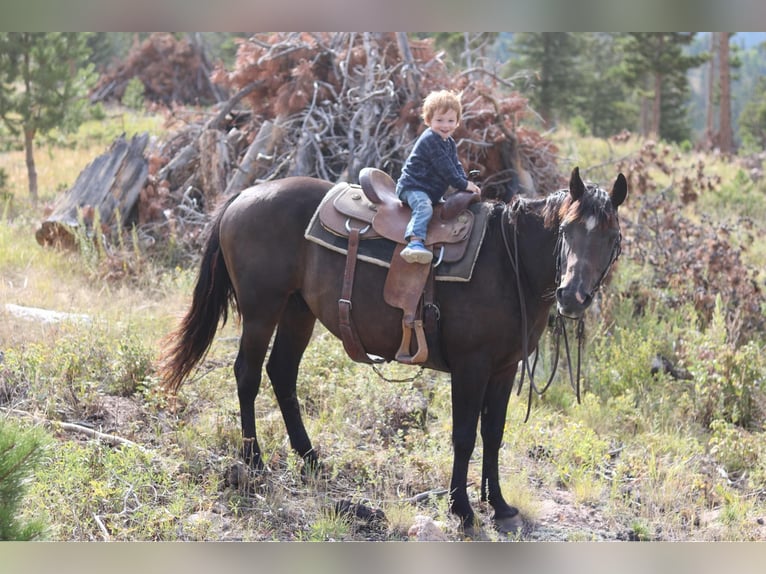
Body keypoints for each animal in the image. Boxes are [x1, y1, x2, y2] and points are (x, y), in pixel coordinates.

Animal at [160, 166, 627, 536]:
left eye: (612, 237)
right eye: (565, 231)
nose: (572, 296)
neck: (509, 265)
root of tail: (244, 196)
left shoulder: (505, 368)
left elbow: (493, 435)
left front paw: (500, 506)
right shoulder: (471, 367)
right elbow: (464, 436)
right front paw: (463, 510)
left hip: (297, 311)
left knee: (282, 374)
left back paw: (311, 460)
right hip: (262, 310)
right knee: (248, 373)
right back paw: (253, 459)